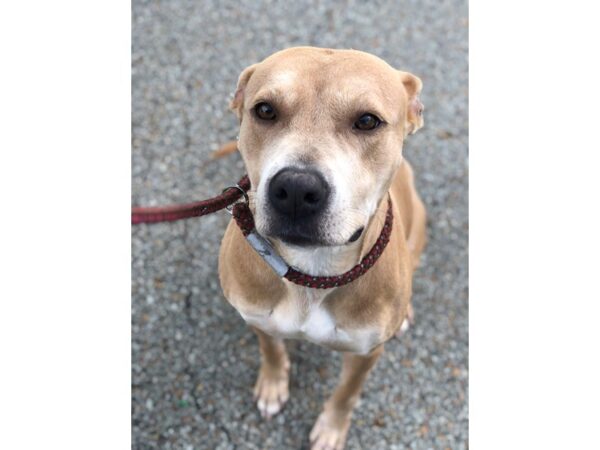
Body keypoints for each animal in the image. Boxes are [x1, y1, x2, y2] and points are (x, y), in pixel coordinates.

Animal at [218, 46, 424, 450]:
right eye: (265, 110)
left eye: (367, 121)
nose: (296, 188)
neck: (310, 274)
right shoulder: (256, 319)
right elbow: (271, 349)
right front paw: (273, 384)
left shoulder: (366, 353)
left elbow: (346, 393)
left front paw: (331, 429)